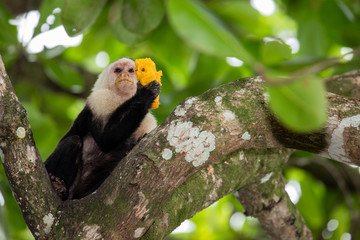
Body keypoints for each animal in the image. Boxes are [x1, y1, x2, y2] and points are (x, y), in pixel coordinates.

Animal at [44, 57, 160, 200]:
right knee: (73, 141)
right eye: (118, 70)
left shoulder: (148, 121)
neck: (122, 99)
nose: (124, 75)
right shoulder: (100, 100)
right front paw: (146, 93)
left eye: (131, 70)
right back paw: (58, 187)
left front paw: (137, 142)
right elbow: (106, 140)